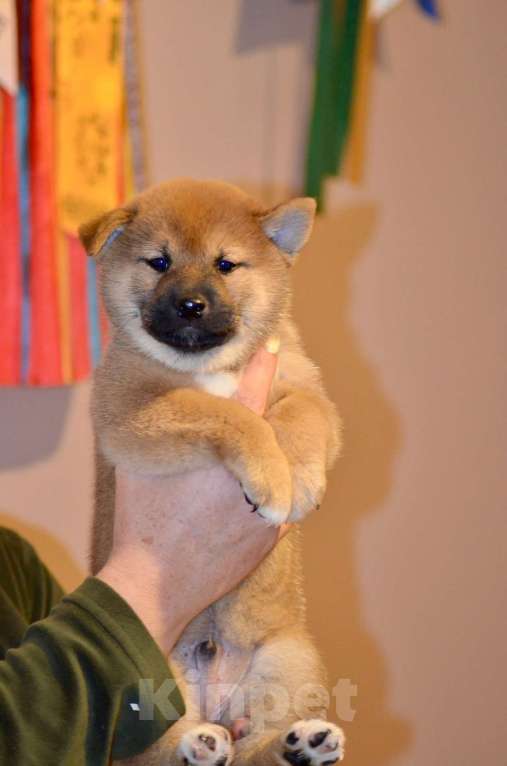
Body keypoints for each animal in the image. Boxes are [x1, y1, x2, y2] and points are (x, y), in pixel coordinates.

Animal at [80, 182, 346, 766]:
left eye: (226, 264)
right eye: (159, 261)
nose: (190, 305)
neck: (211, 366)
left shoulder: (309, 392)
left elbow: (300, 415)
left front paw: (299, 478)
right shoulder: (131, 415)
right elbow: (228, 415)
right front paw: (272, 479)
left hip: (287, 659)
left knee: (259, 744)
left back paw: (303, 745)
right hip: (147, 676)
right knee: (156, 750)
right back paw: (197, 744)